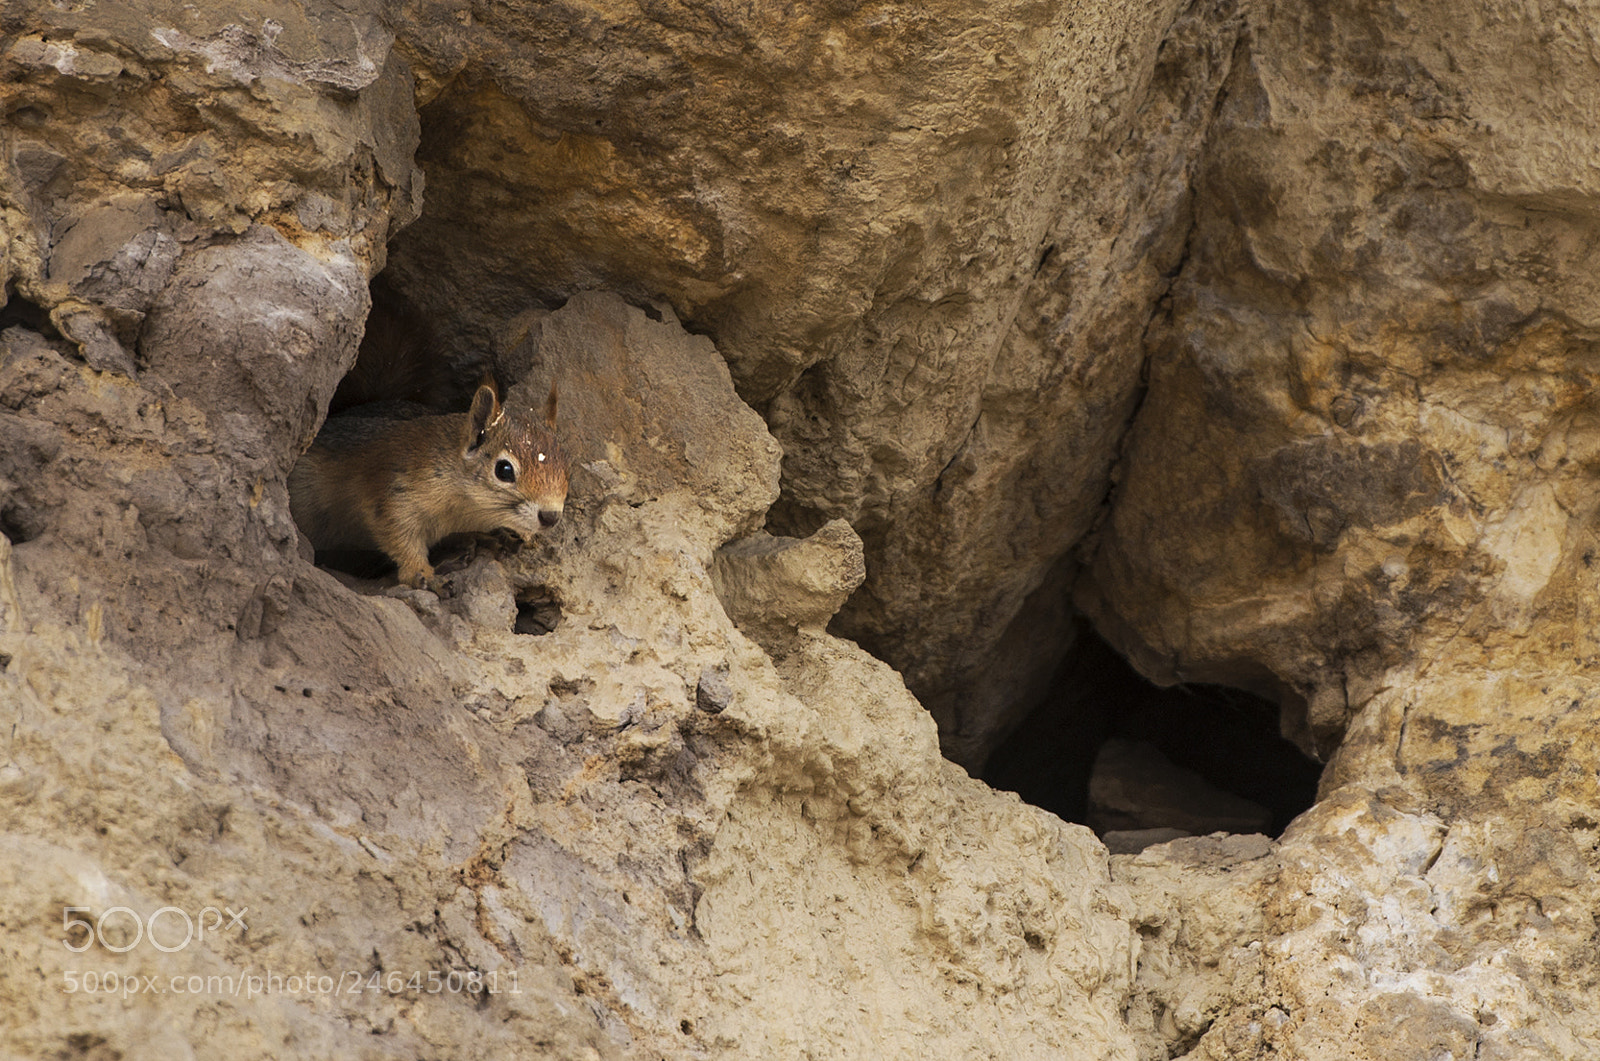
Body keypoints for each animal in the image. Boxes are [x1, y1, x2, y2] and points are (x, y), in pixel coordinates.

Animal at [288, 285, 570, 590]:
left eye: (567, 468)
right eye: (504, 470)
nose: (551, 516)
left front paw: (496, 536)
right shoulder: (389, 497)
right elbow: (401, 540)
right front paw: (424, 574)